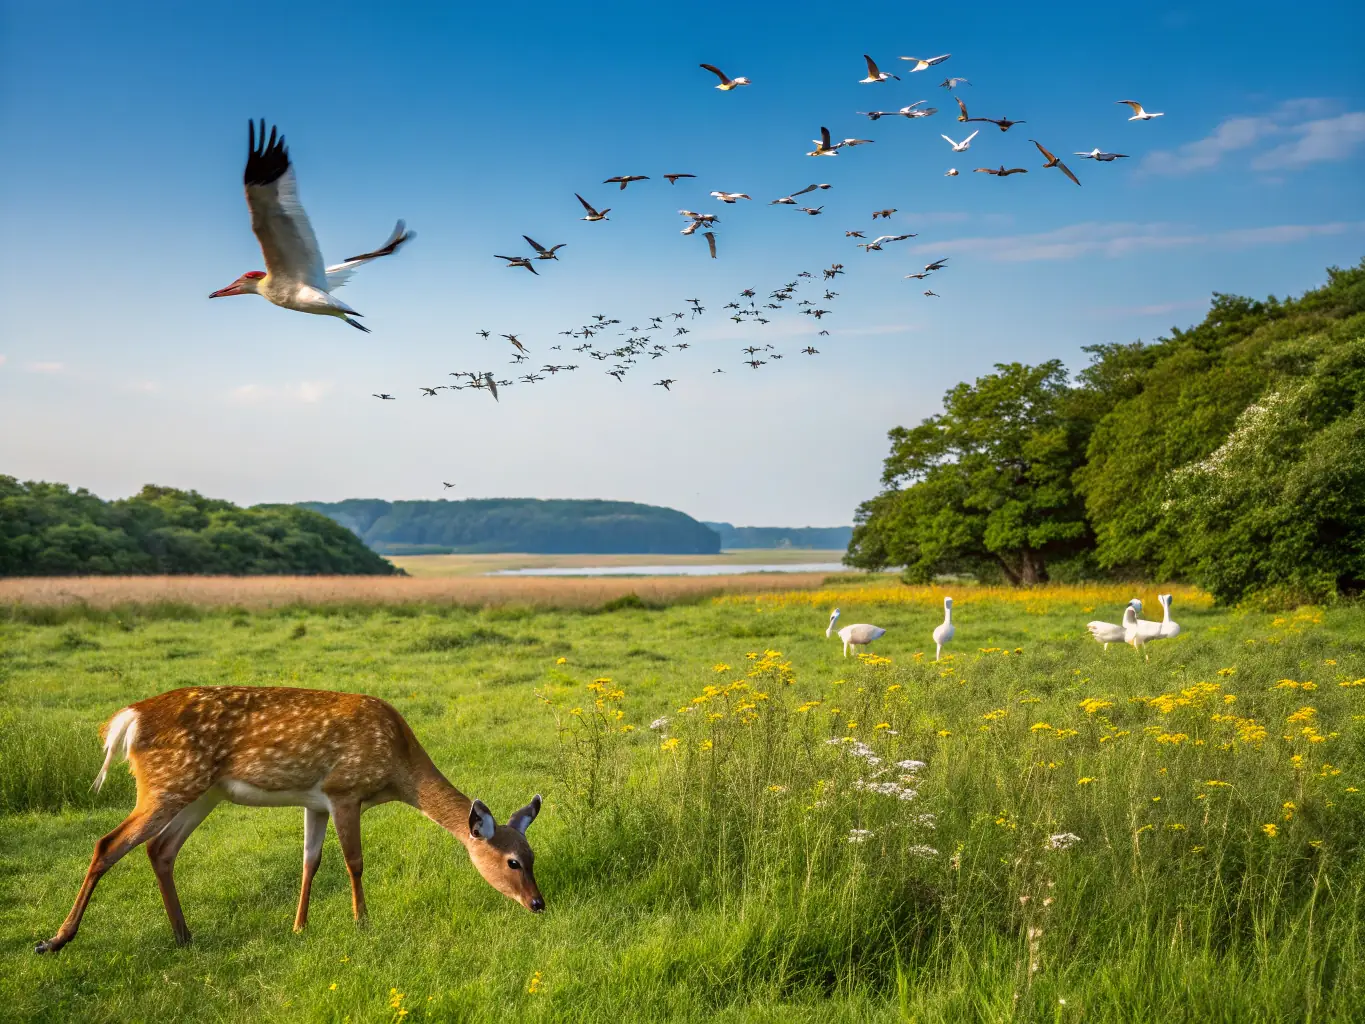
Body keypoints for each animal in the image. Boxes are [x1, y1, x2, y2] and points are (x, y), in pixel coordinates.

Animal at [35, 686, 544, 954]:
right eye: (513, 862)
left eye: (533, 855)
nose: (538, 903)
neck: (398, 769)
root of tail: (128, 720)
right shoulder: (344, 790)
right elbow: (354, 862)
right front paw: (363, 924)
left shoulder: (314, 802)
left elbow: (310, 861)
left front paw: (299, 927)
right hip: (167, 783)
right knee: (108, 843)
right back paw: (56, 940)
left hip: (202, 792)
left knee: (160, 849)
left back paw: (183, 935)